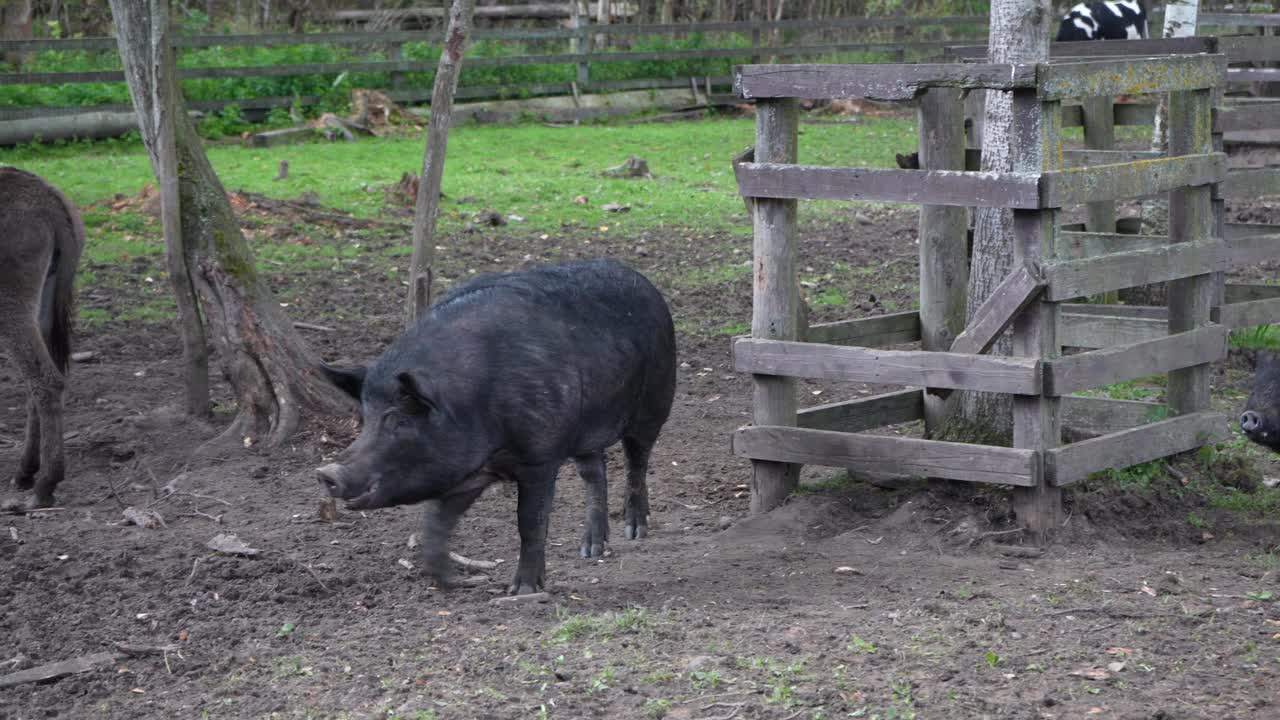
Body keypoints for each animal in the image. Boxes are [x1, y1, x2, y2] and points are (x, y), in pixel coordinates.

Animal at [317, 257, 680, 594]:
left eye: (400, 421)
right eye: (365, 419)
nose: (326, 473)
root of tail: (645, 283)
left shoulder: (540, 456)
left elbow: (530, 523)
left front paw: (522, 591)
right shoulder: (469, 472)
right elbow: (435, 522)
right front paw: (451, 580)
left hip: (654, 401)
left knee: (636, 462)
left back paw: (635, 531)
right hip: (583, 427)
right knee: (595, 471)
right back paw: (590, 549)